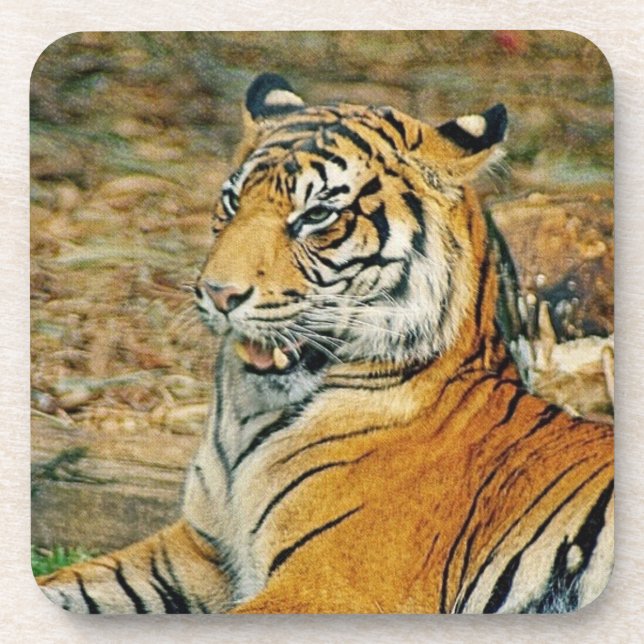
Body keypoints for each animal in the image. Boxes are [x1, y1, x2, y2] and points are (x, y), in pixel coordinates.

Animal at [37, 73, 614, 614]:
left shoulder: (332, 585)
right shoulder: (194, 554)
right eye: (232, 202)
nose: (218, 293)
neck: (245, 417)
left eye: (316, 215)